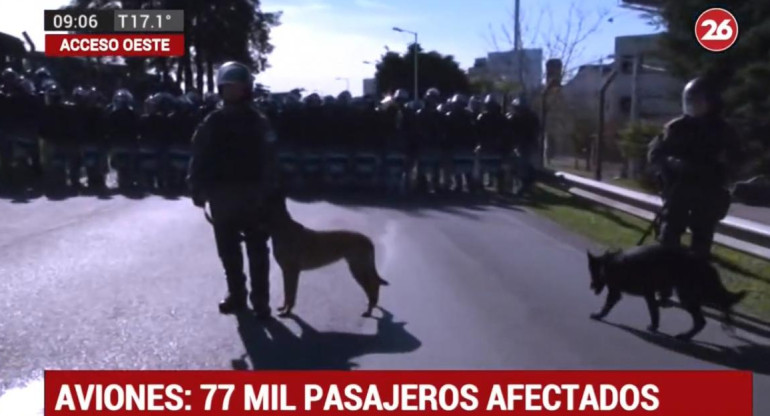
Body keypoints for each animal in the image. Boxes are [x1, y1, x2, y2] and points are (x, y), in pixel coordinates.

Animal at [584, 245, 740, 340]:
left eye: (592, 273)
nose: (590, 287)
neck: (607, 263)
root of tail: (709, 266)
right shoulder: (649, 294)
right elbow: (654, 312)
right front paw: (654, 326)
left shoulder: (616, 293)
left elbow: (606, 306)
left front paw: (598, 315)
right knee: (702, 319)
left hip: (686, 297)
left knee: (701, 321)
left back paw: (685, 336)